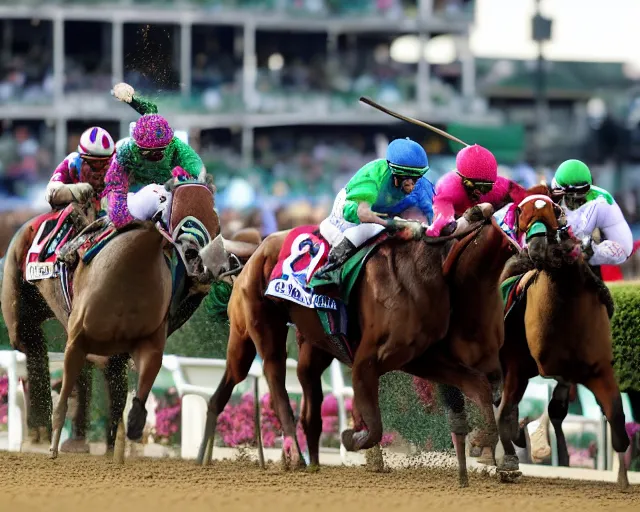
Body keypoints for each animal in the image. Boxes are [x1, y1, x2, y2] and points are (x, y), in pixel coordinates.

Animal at [198, 204, 516, 488]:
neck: (429, 269)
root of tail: (255, 252)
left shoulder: (421, 357)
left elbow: (478, 385)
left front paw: (485, 443)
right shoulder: (368, 360)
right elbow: (374, 427)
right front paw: (353, 437)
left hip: (307, 345)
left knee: (257, 391)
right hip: (257, 328)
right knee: (271, 381)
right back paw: (292, 455)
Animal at [496, 195, 632, 488]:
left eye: (553, 213)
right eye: (523, 216)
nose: (536, 248)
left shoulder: (598, 367)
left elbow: (616, 416)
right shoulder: (537, 362)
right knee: (504, 407)